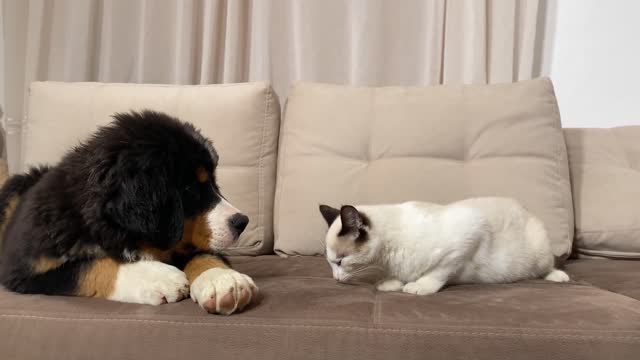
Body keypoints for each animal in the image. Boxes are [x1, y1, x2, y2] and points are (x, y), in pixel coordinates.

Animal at [0, 109, 258, 316]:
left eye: (213, 184)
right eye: (189, 189)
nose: (242, 221)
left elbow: (203, 253)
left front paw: (223, 280)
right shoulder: (22, 269)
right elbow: (90, 267)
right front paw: (160, 278)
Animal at [320, 197, 568, 296]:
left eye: (340, 261)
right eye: (331, 264)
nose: (335, 279)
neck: (387, 259)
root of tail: (526, 209)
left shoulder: (465, 241)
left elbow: (437, 272)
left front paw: (418, 287)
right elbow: (397, 276)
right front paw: (391, 284)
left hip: (540, 253)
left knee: (548, 266)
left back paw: (559, 277)